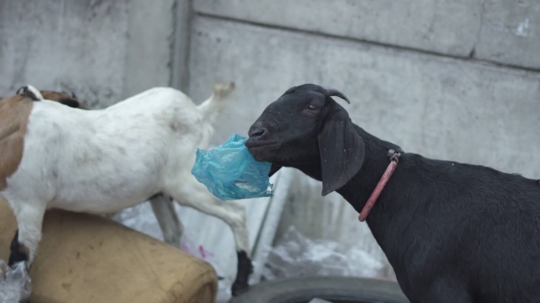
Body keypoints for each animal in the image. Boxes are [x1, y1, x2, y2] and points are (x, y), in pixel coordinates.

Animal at [0, 83, 253, 296]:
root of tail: (199, 113)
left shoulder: (30, 201)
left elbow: (20, 252)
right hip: (159, 191)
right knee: (174, 228)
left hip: (188, 182)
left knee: (236, 212)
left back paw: (241, 282)